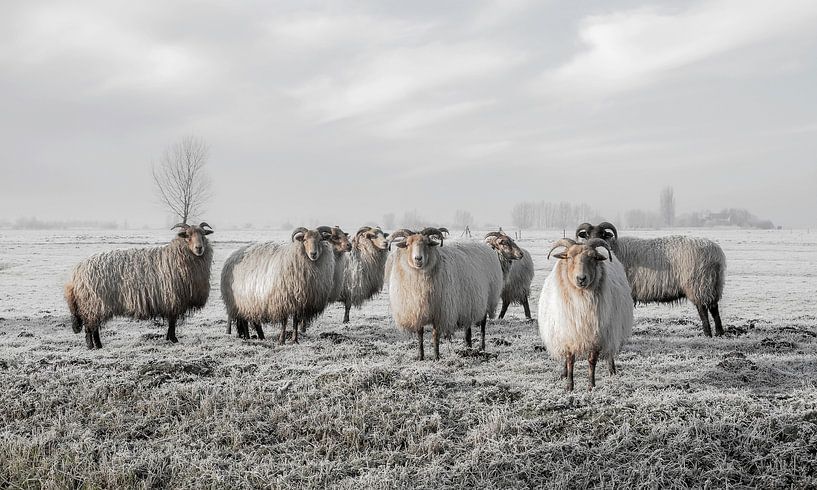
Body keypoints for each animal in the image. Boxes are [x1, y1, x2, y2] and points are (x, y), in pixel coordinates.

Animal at [64, 222, 214, 349]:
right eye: (187, 236)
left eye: (203, 234)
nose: (199, 248)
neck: (176, 255)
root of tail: (76, 273)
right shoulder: (172, 299)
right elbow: (172, 322)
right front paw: (173, 339)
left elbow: (172, 322)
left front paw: (169, 338)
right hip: (92, 304)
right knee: (89, 328)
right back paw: (91, 346)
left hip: (94, 306)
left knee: (94, 327)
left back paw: (99, 345)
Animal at [387, 227, 503, 360]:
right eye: (407, 244)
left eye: (427, 243)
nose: (418, 258)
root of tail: (485, 245)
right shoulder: (417, 310)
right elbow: (420, 335)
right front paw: (421, 356)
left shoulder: (441, 311)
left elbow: (435, 335)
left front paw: (436, 357)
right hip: (468, 302)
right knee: (467, 328)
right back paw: (468, 348)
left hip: (487, 300)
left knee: (483, 326)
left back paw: (481, 348)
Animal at [538, 238, 633, 391]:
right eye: (569, 257)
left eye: (593, 257)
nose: (581, 278)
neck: (581, 299)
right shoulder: (569, 334)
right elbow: (570, 360)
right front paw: (569, 386)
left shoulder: (596, 336)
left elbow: (592, 361)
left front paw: (591, 386)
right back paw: (564, 373)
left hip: (611, 331)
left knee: (610, 352)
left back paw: (612, 370)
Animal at [576, 222, 726, 337]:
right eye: (587, 235)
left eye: (602, 234)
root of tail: (716, 254)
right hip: (713, 284)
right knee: (714, 308)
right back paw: (719, 333)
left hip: (698, 284)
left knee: (703, 309)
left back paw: (708, 334)